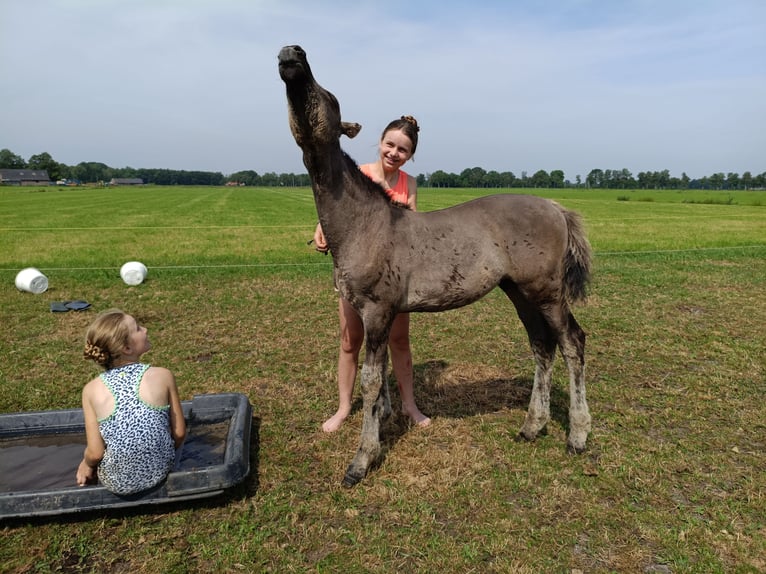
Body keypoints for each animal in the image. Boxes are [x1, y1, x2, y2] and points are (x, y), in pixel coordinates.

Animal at [278, 45, 593, 487]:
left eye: (330, 96)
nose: (292, 55)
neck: (365, 224)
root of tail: (555, 207)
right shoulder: (376, 313)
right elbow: (381, 373)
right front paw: (384, 420)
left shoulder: (377, 310)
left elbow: (370, 379)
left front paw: (362, 459)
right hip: (519, 292)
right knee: (541, 345)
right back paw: (532, 426)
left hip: (545, 292)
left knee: (571, 342)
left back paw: (577, 435)